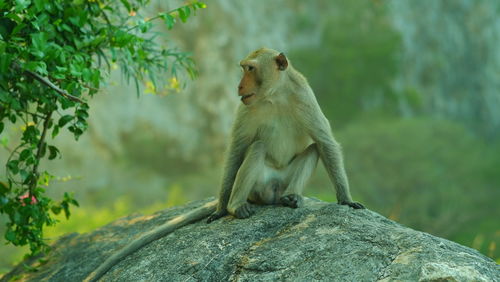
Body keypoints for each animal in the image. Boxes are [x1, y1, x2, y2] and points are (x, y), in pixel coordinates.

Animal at [84, 48, 362, 280]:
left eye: (250, 69)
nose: (239, 85)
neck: (274, 96)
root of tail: (271, 193)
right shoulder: (246, 108)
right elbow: (237, 151)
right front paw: (219, 210)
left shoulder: (304, 96)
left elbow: (324, 142)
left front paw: (346, 200)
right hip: (258, 187)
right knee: (257, 148)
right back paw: (233, 206)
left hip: (282, 181)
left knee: (313, 149)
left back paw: (291, 197)